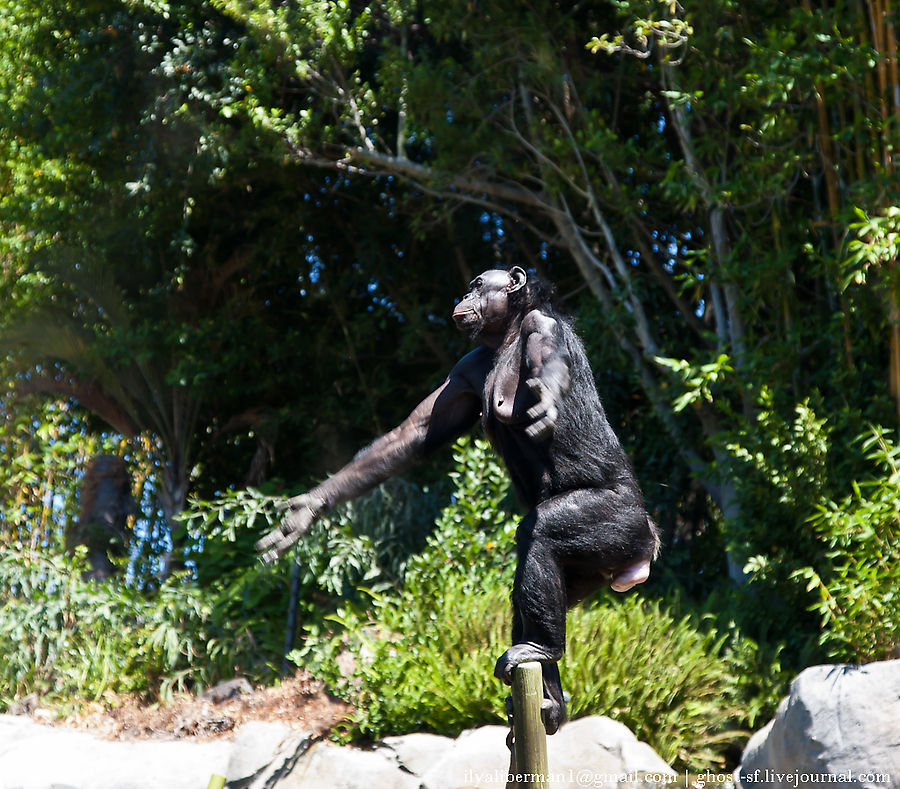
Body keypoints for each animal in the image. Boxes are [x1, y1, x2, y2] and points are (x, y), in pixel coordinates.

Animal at [256, 264, 656, 732]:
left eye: (479, 285)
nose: (462, 295)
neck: (507, 335)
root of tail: (645, 550)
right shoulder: (465, 370)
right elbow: (412, 435)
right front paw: (306, 510)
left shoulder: (544, 329)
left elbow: (549, 370)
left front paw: (547, 403)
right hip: (594, 570)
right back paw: (549, 699)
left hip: (620, 523)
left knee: (540, 534)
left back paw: (542, 649)